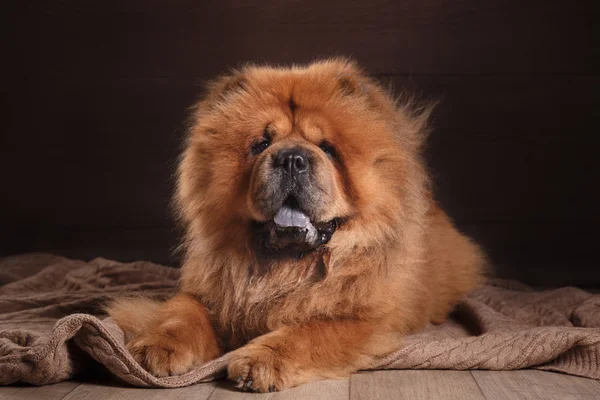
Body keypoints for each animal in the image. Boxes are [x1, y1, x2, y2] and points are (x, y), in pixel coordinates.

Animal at [108, 57, 486, 392]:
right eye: (260, 144)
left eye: (327, 148)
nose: (291, 158)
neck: (287, 268)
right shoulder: (207, 292)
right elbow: (182, 314)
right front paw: (156, 347)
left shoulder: (366, 319)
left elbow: (309, 332)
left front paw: (259, 361)